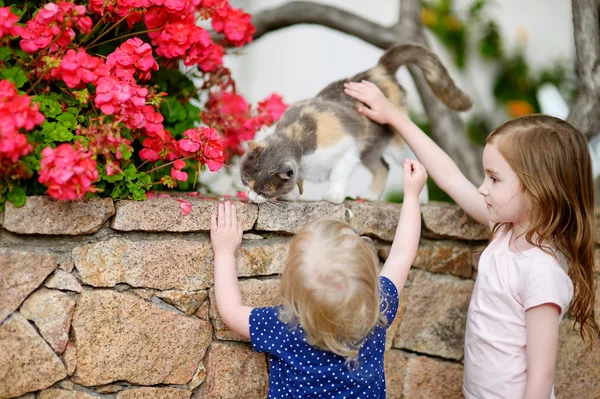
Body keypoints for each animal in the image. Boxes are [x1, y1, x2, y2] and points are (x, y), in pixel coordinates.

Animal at [237, 43, 472, 205]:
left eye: (263, 191)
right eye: (245, 181)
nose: (249, 195)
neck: (295, 137)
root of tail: (378, 70)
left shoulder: (348, 147)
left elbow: (339, 172)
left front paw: (333, 195)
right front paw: (292, 193)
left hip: (394, 139)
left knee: (413, 160)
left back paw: (421, 198)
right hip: (370, 150)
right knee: (382, 167)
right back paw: (370, 196)